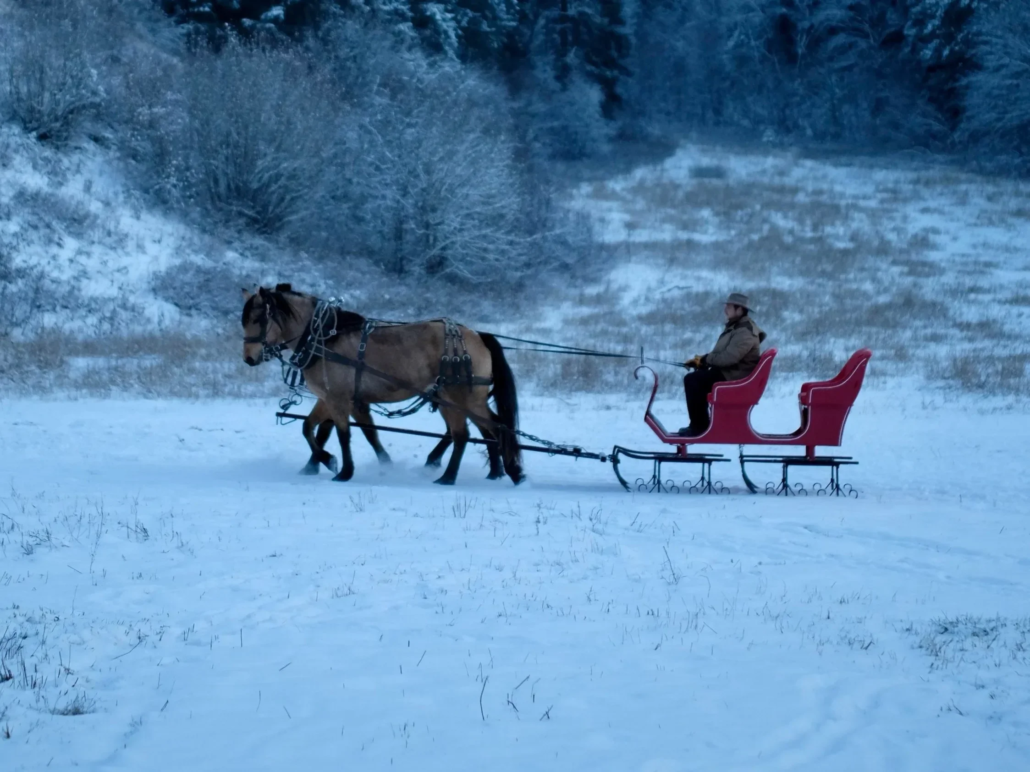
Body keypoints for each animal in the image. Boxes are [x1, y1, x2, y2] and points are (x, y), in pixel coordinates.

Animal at [241, 285, 523, 486]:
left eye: (257, 320)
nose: (248, 358)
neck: (323, 339)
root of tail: (478, 336)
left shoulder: (338, 399)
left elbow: (343, 434)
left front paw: (343, 470)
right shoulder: (335, 399)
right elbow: (318, 429)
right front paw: (324, 462)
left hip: (460, 398)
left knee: (478, 431)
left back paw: (460, 476)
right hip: (458, 399)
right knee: (483, 430)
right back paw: (495, 471)